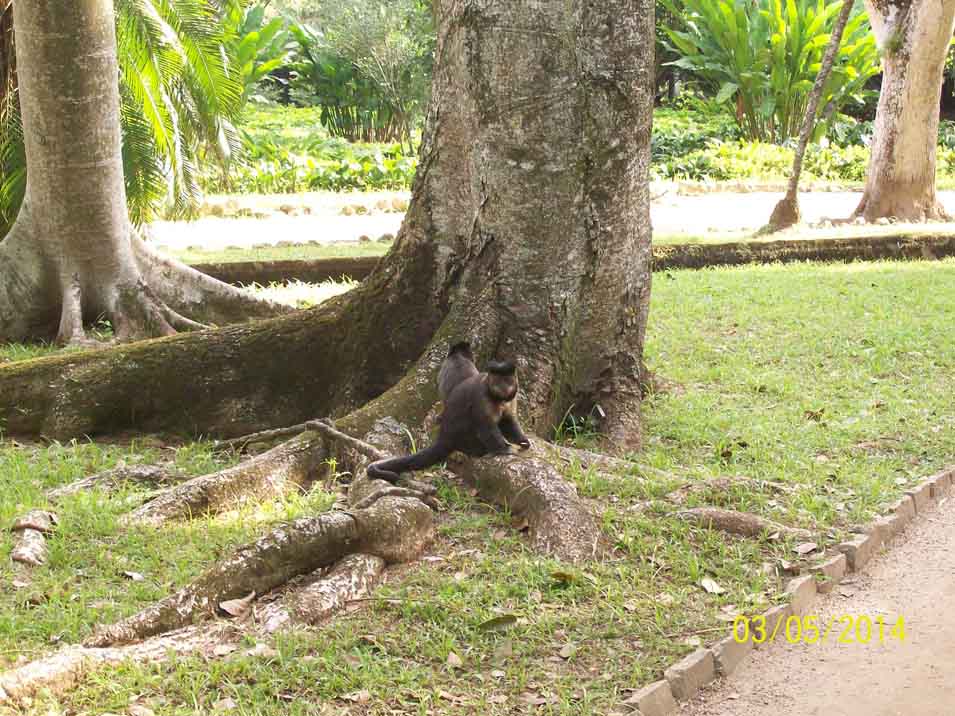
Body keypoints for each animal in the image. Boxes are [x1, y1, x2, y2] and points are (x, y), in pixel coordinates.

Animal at [366, 342, 532, 482]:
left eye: (507, 380)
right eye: (497, 381)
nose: (502, 387)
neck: (498, 398)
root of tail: (445, 435)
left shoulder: (512, 398)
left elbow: (508, 420)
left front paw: (522, 441)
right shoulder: (481, 395)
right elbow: (485, 424)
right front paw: (505, 449)